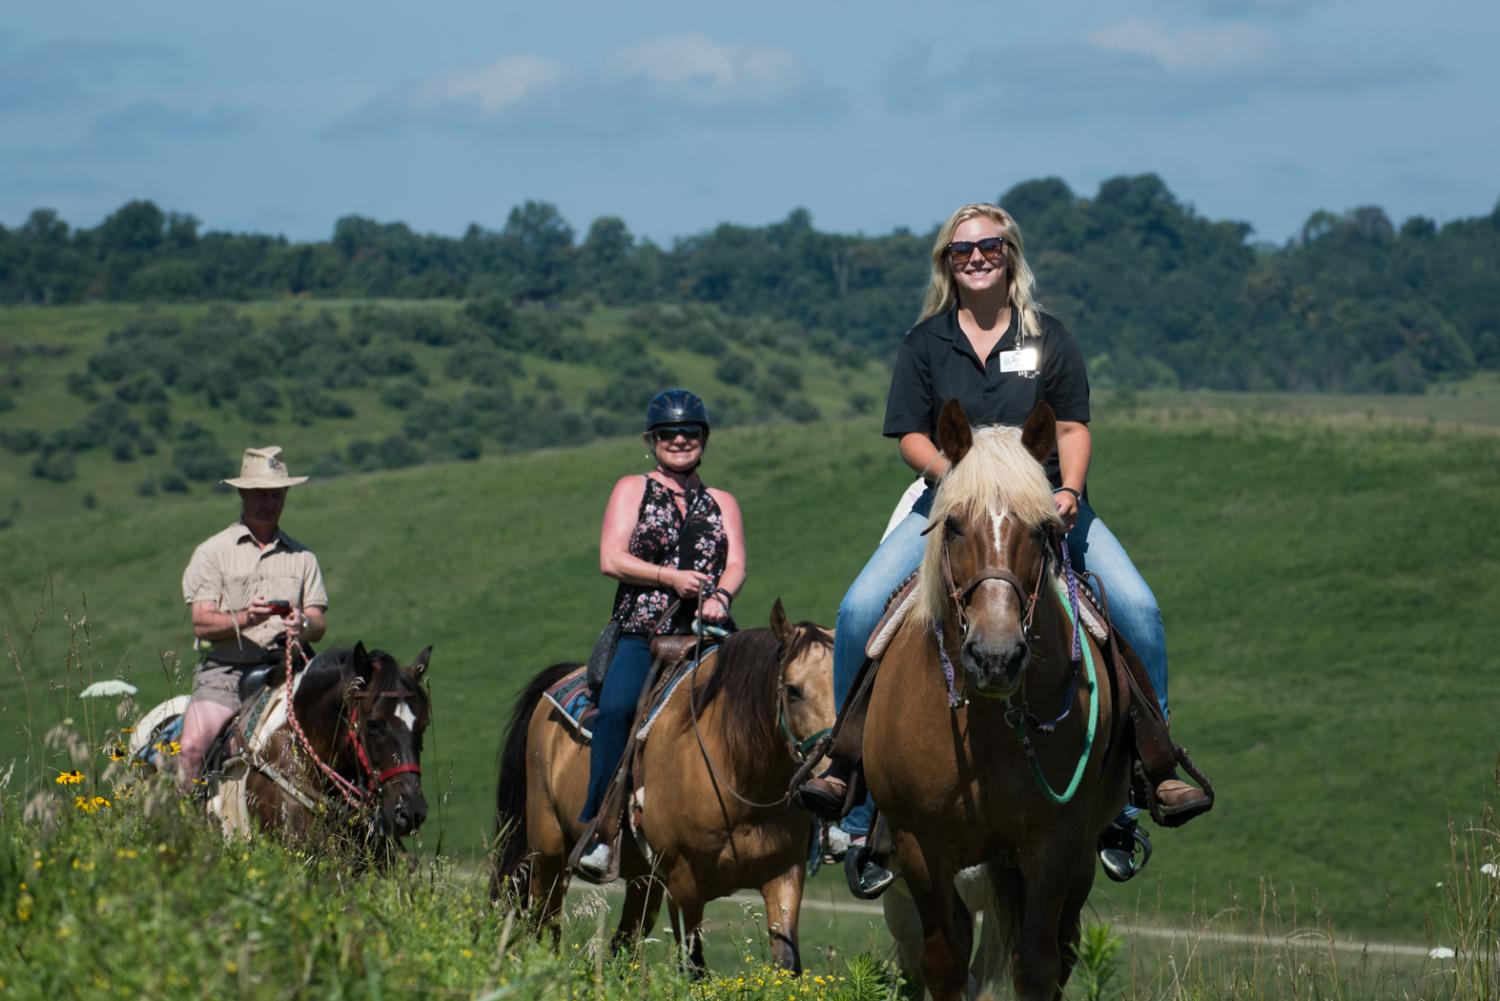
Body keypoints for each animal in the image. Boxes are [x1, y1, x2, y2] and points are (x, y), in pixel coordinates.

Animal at [498, 600, 840, 972]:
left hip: (641, 880)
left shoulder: (785, 875)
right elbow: (694, 967)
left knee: (623, 945)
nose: (828, 780)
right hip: (548, 851)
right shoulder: (684, 883)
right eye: (792, 690)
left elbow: (787, 964)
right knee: (544, 925)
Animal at [864, 402, 1128, 1001]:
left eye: (1043, 528)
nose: (995, 656)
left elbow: (1037, 965)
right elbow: (944, 963)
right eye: (954, 525)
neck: (988, 729)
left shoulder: (1057, 844)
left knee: (1063, 946)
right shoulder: (922, 848)